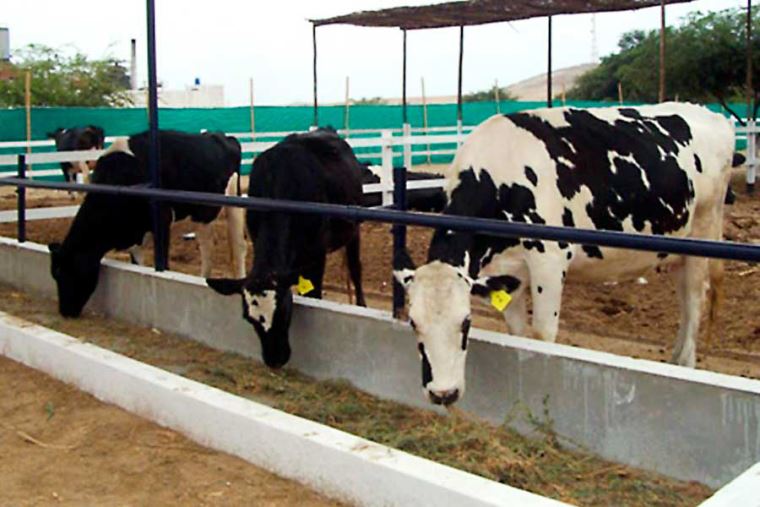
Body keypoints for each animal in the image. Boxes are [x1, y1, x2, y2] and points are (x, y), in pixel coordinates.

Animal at [49, 130, 245, 318]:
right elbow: (138, 265)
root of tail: (221, 136)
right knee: (207, 245)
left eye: (65, 272)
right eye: (54, 275)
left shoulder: (162, 220)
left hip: (232, 200)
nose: (65, 312)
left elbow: (163, 265)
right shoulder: (134, 234)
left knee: (237, 247)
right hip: (201, 215)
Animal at [205, 129, 366, 370]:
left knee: (355, 268)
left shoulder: (316, 254)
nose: (274, 359)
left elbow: (314, 293)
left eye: (282, 310)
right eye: (248, 318)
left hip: (354, 229)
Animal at [398, 104, 736, 408]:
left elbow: (542, 334)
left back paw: (686, 363)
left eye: (466, 323)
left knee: (694, 297)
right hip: (679, 245)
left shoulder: (549, 260)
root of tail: (711, 114)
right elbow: (517, 332)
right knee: (684, 297)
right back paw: (675, 358)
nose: (443, 394)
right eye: (413, 323)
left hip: (703, 230)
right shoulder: (506, 272)